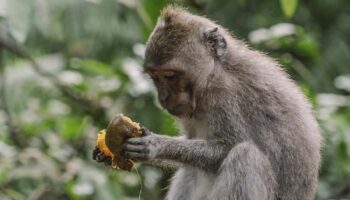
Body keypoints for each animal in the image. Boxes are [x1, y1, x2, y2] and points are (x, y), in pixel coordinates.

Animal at [93, 5, 322, 200]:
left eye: (170, 76)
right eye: (154, 77)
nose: (163, 98)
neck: (212, 73)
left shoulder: (224, 95)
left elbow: (228, 146)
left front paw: (156, 145)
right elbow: (190, 142)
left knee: (246, 156)